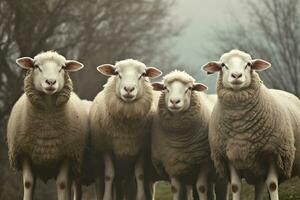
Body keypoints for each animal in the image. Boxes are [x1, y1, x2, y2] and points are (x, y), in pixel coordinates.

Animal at [6, 51, 89, 200]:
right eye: (36, 66)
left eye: (63, 67)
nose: (51, 82)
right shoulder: (23, 153)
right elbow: (28, 183)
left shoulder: (67, 154)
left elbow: (62, 184)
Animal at [89, 58, 162, 200]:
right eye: (117, 73)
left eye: (142, 74)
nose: (129, 89)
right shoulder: (106, 148)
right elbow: (109, 175)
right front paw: (107, 197)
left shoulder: (141, 148)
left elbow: (140, 175)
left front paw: (140, 197)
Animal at [150, 70, 223, 200]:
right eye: (165, 88)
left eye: (189, 88)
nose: (174, 101)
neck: (180, 140)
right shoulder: (172, 165)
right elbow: (175, 189)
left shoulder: (204, 163)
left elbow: (201, 187)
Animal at [202, 48, 300, 200]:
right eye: (223, 65)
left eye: (248, 64)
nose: (236, 75)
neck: (241, 129)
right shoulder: (230, 157)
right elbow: (235, 187)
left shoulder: (273, 154)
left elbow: (272, 185)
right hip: (256, 170)